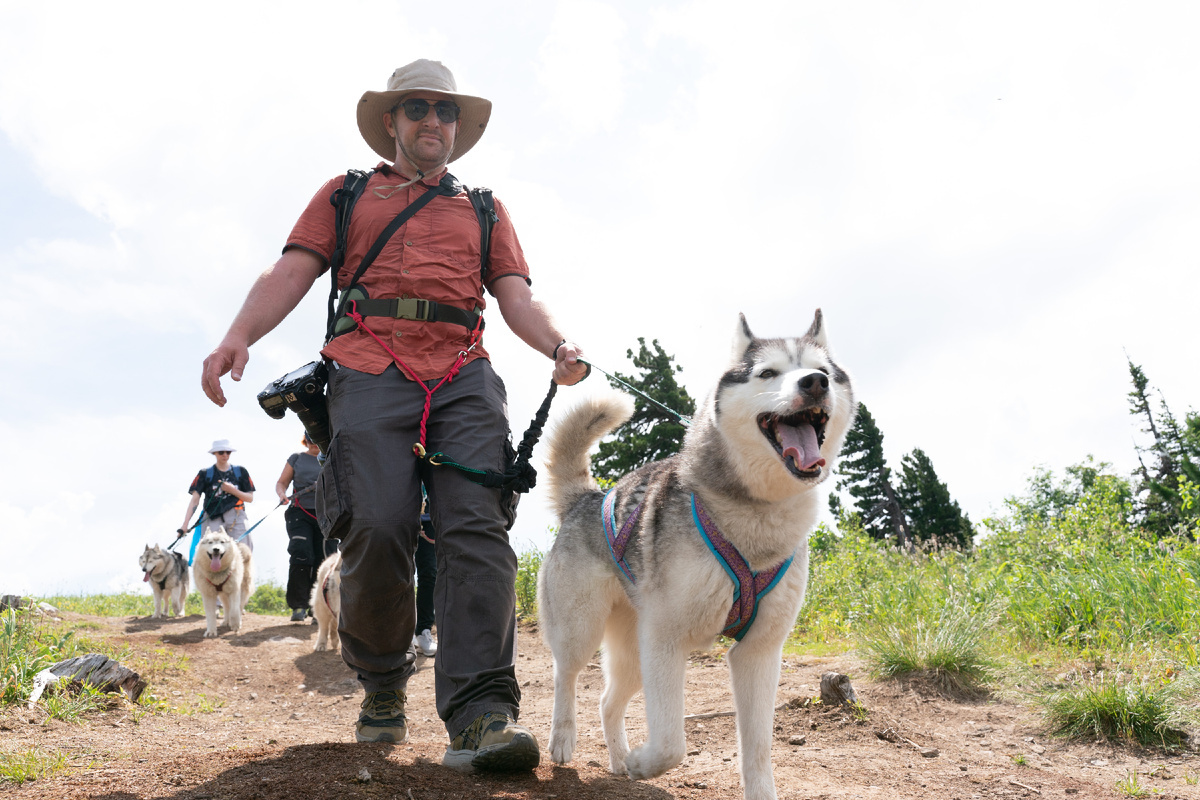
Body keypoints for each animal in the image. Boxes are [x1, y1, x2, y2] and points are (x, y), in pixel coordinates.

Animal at [540, 311, 859, 800]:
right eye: (768, 373)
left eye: (821, 369)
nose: (814, 383)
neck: (758, 513)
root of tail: (587, 498)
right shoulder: (665, 640)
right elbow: (672, 743)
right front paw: (645, 762)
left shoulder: (760, 653)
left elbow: (759, 750)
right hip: (584, 630)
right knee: (566, 675)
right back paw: (563, 739)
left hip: (633, 652)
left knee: (607, 701)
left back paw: (619, 758)